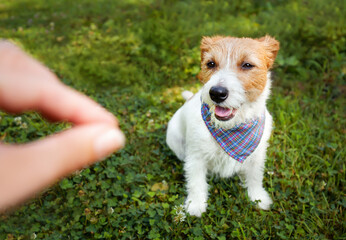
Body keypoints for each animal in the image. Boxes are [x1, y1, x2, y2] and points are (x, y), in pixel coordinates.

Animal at [166, 35, 280, 218]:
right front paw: (196, 205)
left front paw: (258, 198)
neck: (230, 128)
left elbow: (255, 178)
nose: (216, 93)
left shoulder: (257, 156)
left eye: (247, 65)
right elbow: (196, 182)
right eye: (211, 63)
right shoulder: (196, 157)